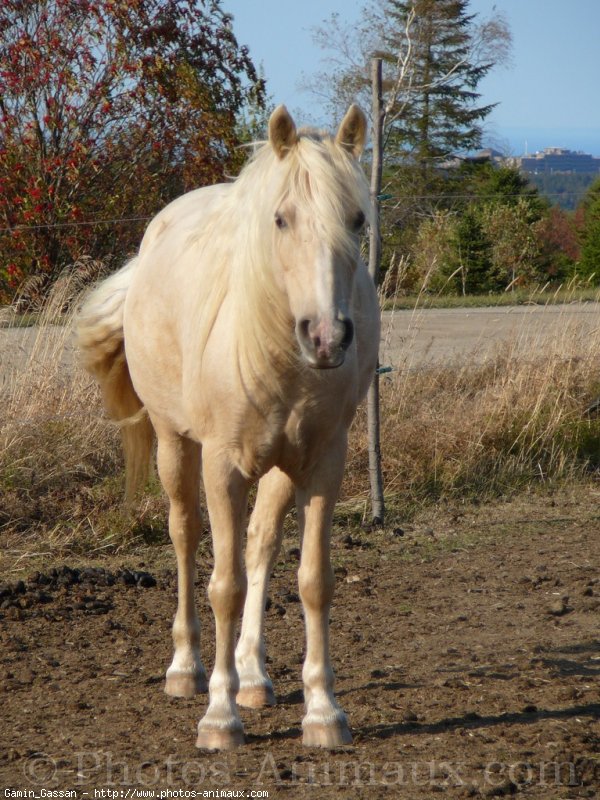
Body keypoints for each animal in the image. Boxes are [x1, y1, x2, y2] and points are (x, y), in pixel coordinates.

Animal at [77, 106, 380, 752]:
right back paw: (186, 669)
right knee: (187, 537)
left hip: (281, 467)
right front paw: (218, 716)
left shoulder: (324, 462)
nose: (326, 337)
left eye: (357, 218)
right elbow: (225, 585)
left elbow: (312, 580)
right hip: (175, 447)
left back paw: (253, 677)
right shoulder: (221, 465)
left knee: (260, 542)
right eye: (281, 219)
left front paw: (322, 710)